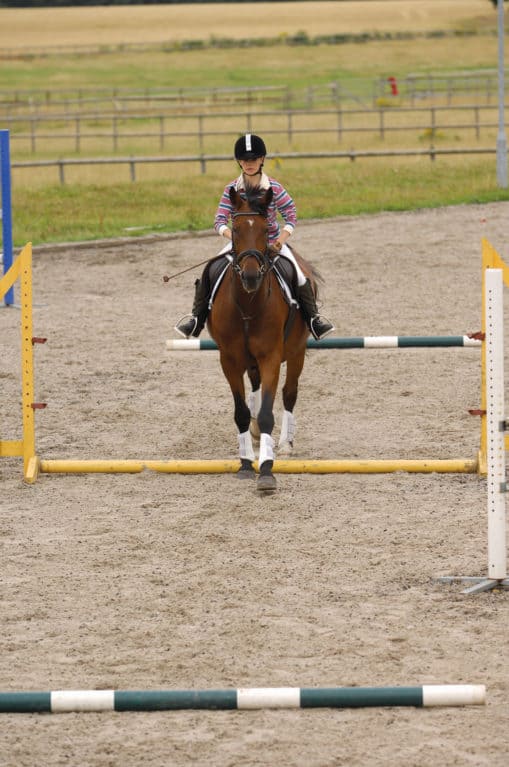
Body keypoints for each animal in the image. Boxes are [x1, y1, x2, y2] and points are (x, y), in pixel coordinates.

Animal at [206, 184, 318, 496]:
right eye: (235, 229)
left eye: (267, 227)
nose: (251, 275)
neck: (248, 304)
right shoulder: (229, 359)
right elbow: (241, 413)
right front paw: (245, 464)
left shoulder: (271, 357)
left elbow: (269, 412)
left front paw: (267, 471)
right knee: (254, 388)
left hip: (296, 352)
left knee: (289, 393)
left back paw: (286, 444)